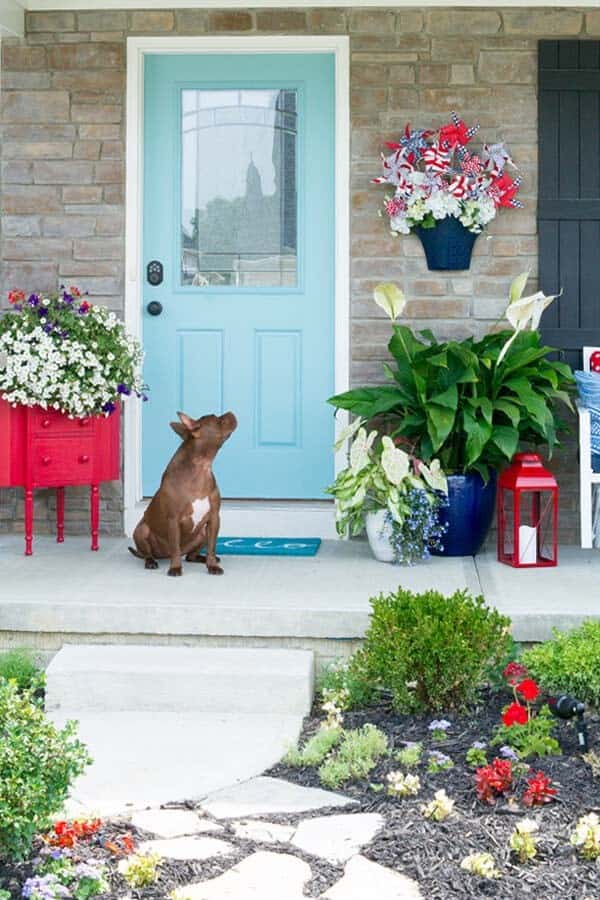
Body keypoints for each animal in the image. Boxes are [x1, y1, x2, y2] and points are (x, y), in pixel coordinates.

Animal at [129, 414, 237, 576]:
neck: (201, 468)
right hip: (141, 531)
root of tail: (163, 555)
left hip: (202, 534)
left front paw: (212, 565)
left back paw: (204, 559)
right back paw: (151, 562)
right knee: (150, 553)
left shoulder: (214, 519)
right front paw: (175, 568)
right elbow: (175, 547)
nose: (231, 413)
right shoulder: (173, 520)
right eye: (217, 419)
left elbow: (212, 547)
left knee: (190, 556)